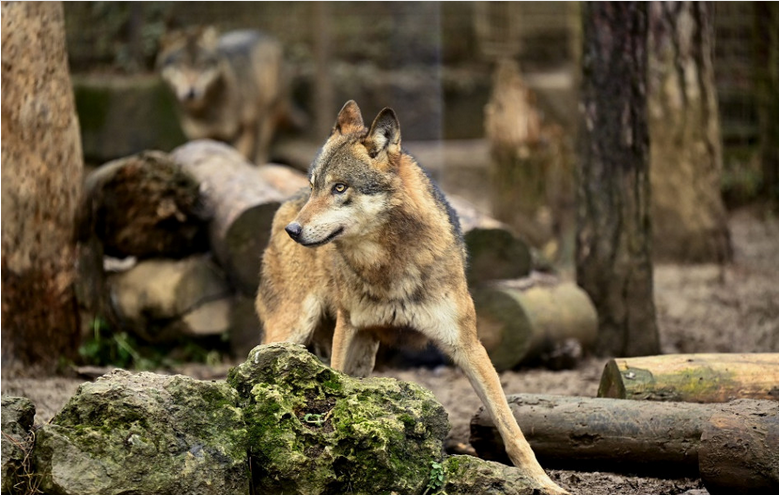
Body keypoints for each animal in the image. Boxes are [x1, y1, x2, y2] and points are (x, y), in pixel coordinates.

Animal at [156, 26, 288, 165]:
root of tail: (266, 35)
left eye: (202, 65)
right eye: (180, 66)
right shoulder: (201, 137)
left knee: (262, 150)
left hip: (266, 120)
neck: (206, 111)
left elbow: (239, 157)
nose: (191, 92)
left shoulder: (243, 131)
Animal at [260, 101, 568, 496]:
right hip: (293, 330)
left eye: (339, 187)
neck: (389, 265)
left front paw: (545, 483)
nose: (294, 231)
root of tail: (286, 204)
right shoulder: (349, 327)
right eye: (315, 185)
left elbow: (510, 426)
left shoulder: (467, 344)